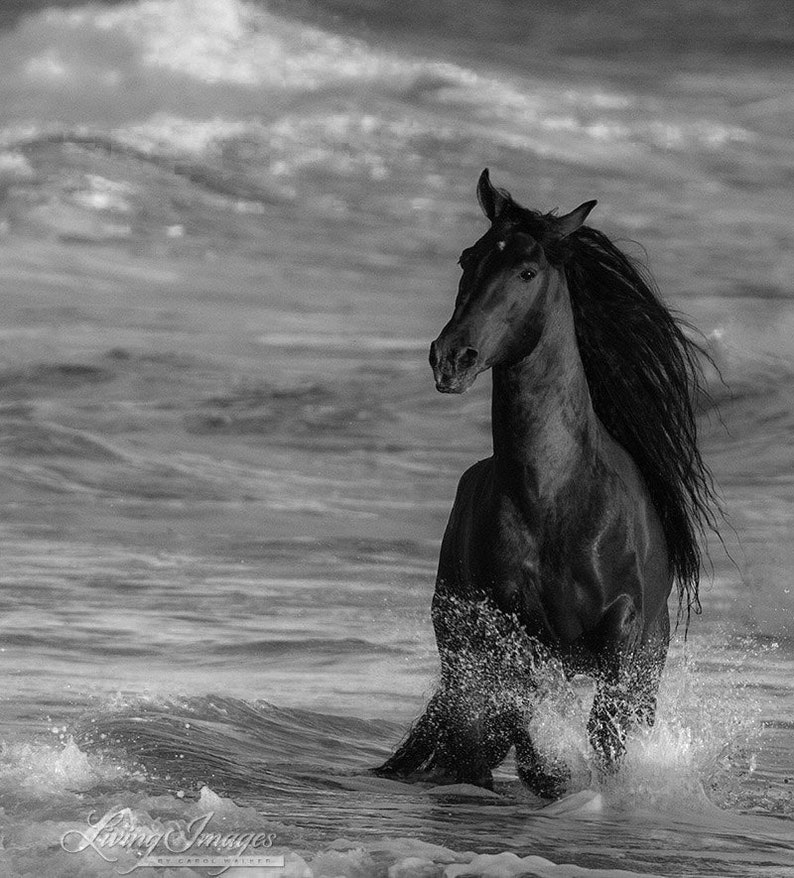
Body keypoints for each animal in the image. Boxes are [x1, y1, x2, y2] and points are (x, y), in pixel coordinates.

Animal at [375, 170, 717, 797]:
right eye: (467, 258)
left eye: (527, 272)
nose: (451, 358)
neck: (555, 498)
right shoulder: (515, 632)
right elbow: (518, 720)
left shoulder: (624, 633)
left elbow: (604, 727)